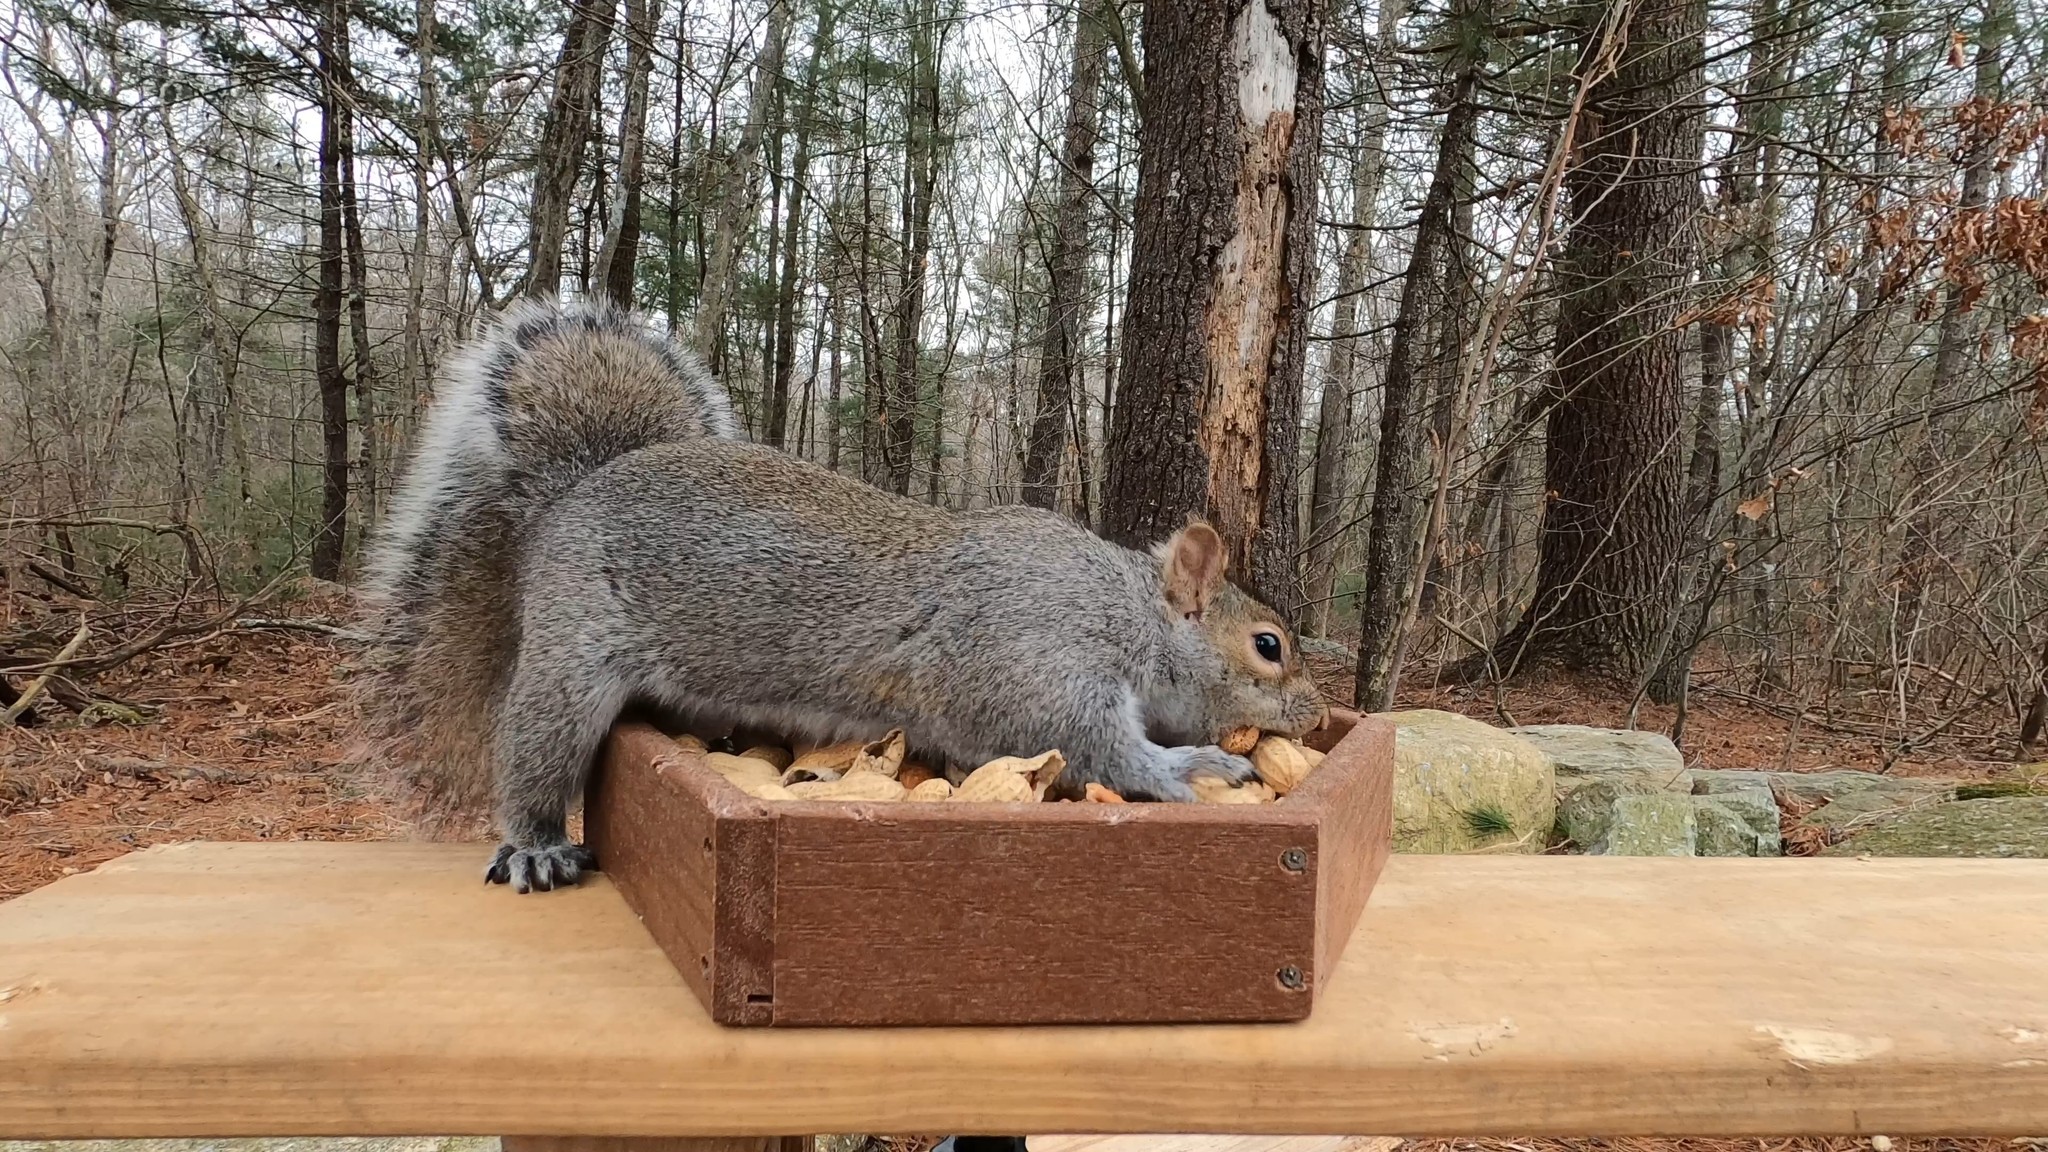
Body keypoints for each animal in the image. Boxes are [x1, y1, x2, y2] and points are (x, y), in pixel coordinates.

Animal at [360, 299, 1327, 893]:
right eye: (1268, 645)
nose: (1317, 716)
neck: (1126, 609)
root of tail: (570, 495)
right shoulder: (1036, 660)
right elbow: (1096, 747)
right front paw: (1193, 768)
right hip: (570, 658)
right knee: (533, 752)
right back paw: (534, 845)